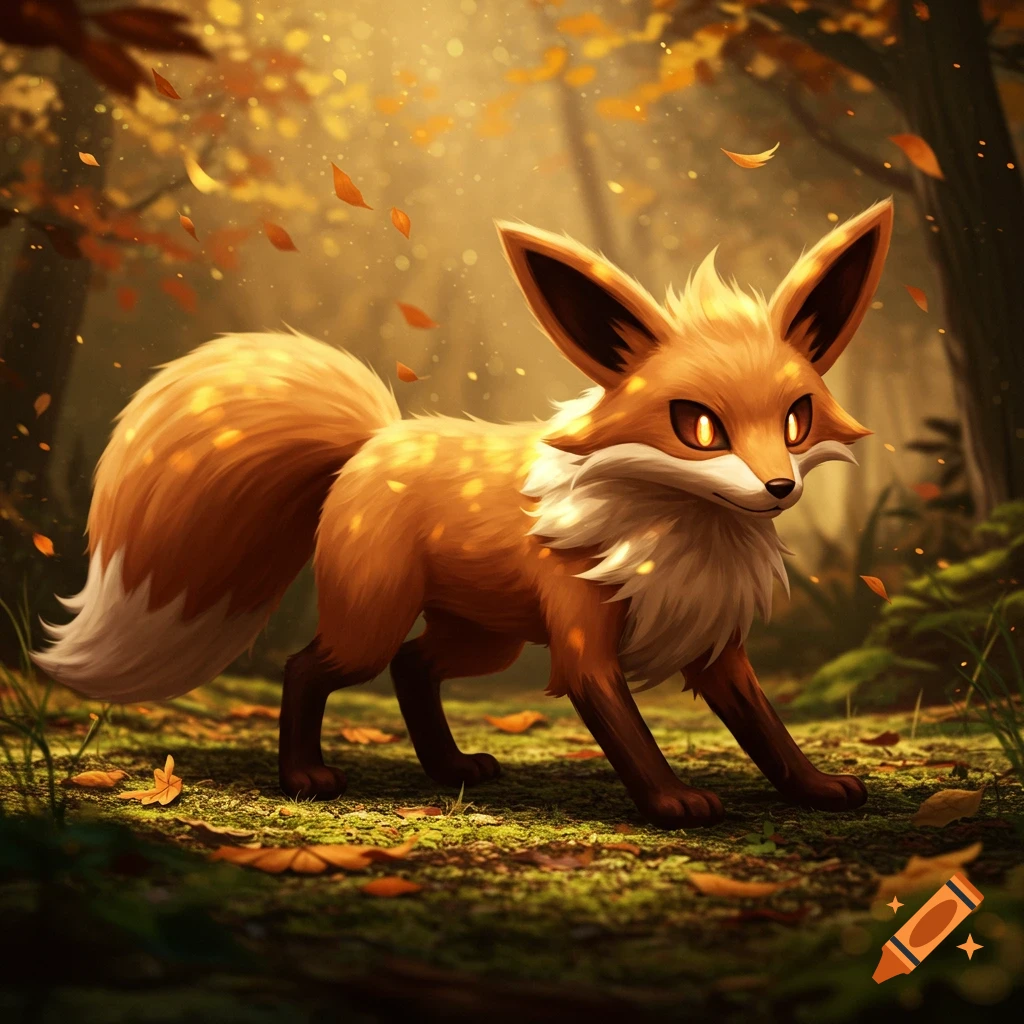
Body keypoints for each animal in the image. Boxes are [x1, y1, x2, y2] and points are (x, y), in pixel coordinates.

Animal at [32, 198, 893, 828]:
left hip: (486, 637)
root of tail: (372, 439)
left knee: (415, 668)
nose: (779, 489)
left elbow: (767, 730)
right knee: (309, 667)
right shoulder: (584, 644)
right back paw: (305, 774)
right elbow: (630, 732)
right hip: (376, 619)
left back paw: (450, 769)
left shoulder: (716, 646)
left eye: (796, 420)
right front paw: (671, 801)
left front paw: (814, 789)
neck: (683, 532)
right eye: (699, 428)